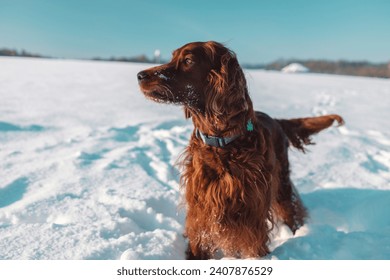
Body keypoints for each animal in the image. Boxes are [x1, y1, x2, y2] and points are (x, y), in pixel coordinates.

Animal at [137, 40, 344, 260]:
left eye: (188, 60)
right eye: (172, 57)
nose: (140, 75)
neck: (221, 142)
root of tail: (275, 120)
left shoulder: (251, 210)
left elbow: (254, 244)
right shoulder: (201, 206)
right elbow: (198, 240)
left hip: (281, 184)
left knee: (292, 210)